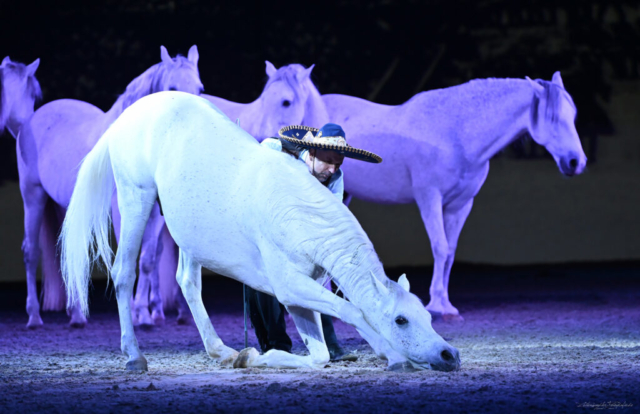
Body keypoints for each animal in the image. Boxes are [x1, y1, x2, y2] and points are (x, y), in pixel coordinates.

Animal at [17, 45, 202, 328]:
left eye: (201, 89)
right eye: (171, 88)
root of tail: (31, 119)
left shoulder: (156, 217)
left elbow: (148, 260)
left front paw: (143, 314)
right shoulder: (121, 209)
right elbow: (129, 257)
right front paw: (135, 314)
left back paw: (77, 315)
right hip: (32, 195)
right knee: (31, 252)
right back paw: (34, 316)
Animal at [58, 92, 460, 374]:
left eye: (425, 314)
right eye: (401, 319)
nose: (450, 354)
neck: (299, 213)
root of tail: (129, 113)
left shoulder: (301, 294)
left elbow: (320, 353)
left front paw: (251, 358)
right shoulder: (289, 286)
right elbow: (352, 311)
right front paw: (393, 354)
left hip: (187, 231)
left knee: (188, 281)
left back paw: (221, 351)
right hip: (135, 198)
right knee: (124, 273)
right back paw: (134, 357)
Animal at [322, 73, 588, 322]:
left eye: (573, 116)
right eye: (552, 117)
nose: (576, 162)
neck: (455, 134)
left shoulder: (461, 204)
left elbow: (450, 250)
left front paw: (446, 305)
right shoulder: (429, 197)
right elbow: (439, 247)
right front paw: (436, 306)